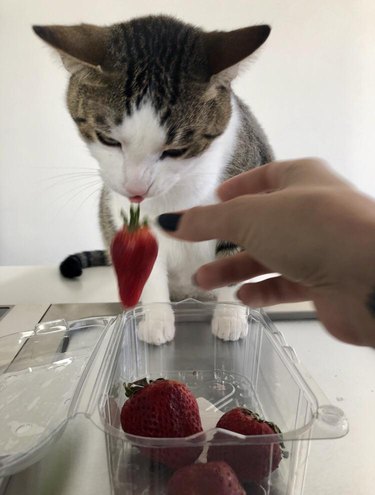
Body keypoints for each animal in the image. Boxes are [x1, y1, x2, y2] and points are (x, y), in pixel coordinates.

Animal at [33, 16, 274, 344]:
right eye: (108, 140)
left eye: (177, 150)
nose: (136, 188)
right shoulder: (126, 214)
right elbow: (144, 267)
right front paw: (157, 320)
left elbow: (233, 261)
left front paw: (230, 318)